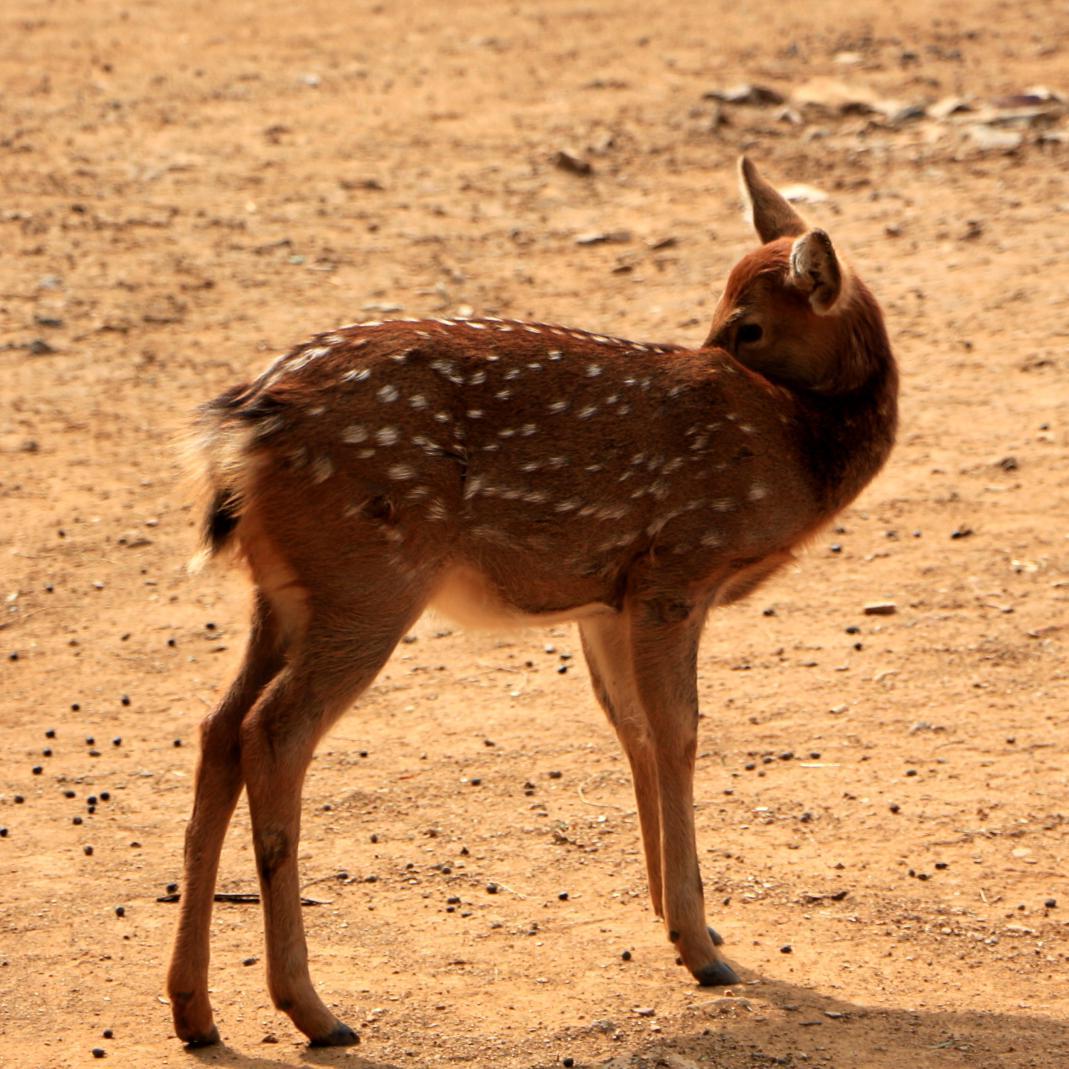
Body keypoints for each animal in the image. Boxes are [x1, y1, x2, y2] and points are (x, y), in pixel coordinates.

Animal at [166, 156, 897, 1043]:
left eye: (746, 324)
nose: (708, 356)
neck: (795, 445)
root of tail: (240, 429)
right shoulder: (676, 567)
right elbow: (678, 733)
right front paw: (699, 947)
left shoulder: (608, 598)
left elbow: (633, 731)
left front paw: (681, 917)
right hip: (369, 579)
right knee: (273, 733)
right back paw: (314, 1011)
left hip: (283, 595)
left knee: (218, 727)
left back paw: (195, 1011)